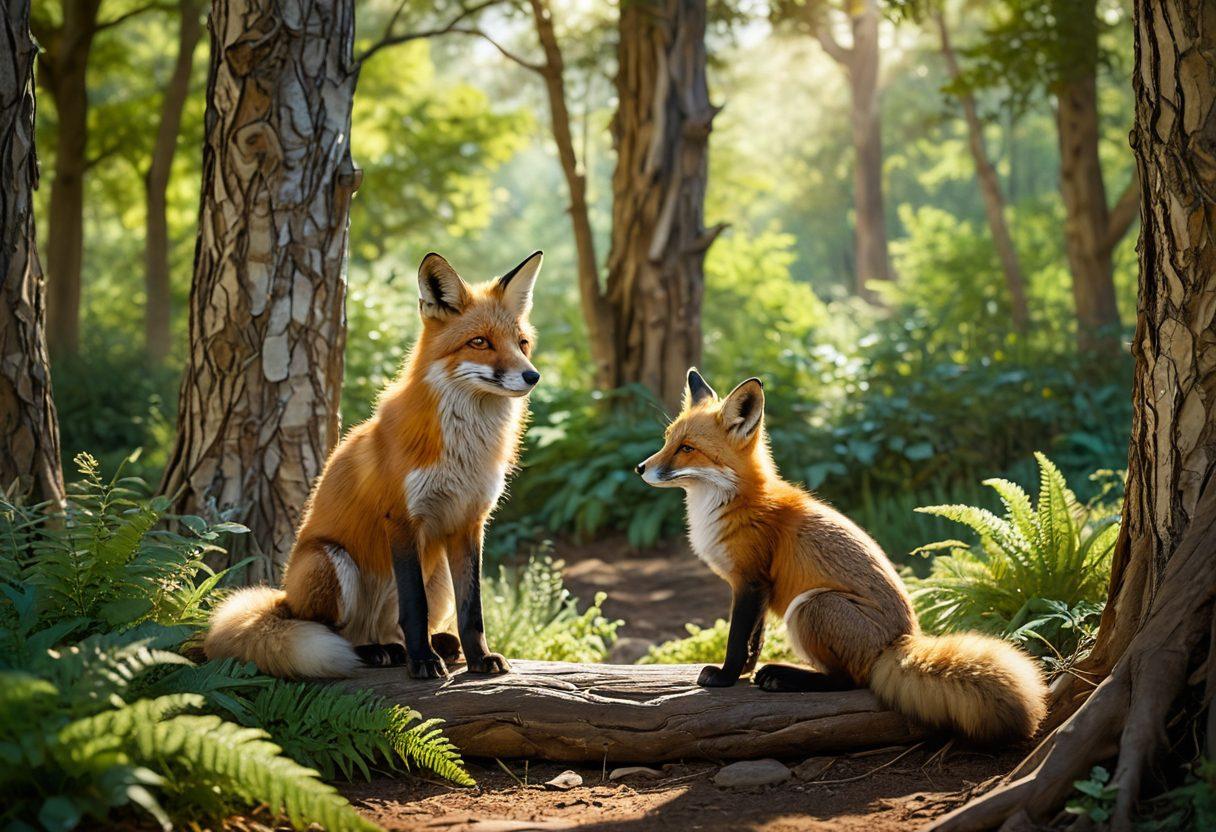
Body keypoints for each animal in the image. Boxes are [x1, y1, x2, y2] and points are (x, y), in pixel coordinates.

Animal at [204, 251, 544, 680]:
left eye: (522, 343)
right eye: (480, 342)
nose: (532, 375)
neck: (464, 450)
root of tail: (283, 597)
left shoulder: (468, 523)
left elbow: (473, 610)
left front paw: (480, 657)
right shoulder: (401, 519)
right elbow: (414, 607)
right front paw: (422, 663)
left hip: (437, 575)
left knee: (397, 628)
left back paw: (422, 646)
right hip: (330, 561)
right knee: (334, 631)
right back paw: (376, 652)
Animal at [636, 369, 1048, 743]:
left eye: (687, 448)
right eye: (668, 440)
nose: (640, 468)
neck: (731, 503)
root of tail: (901, 642)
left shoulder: (750, 579)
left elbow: (738, 639)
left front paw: (724, 677)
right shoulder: (759, 586)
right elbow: (755, 639)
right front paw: (743, 673)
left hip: (812, 605)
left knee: (850, 680)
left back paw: (785, 677)